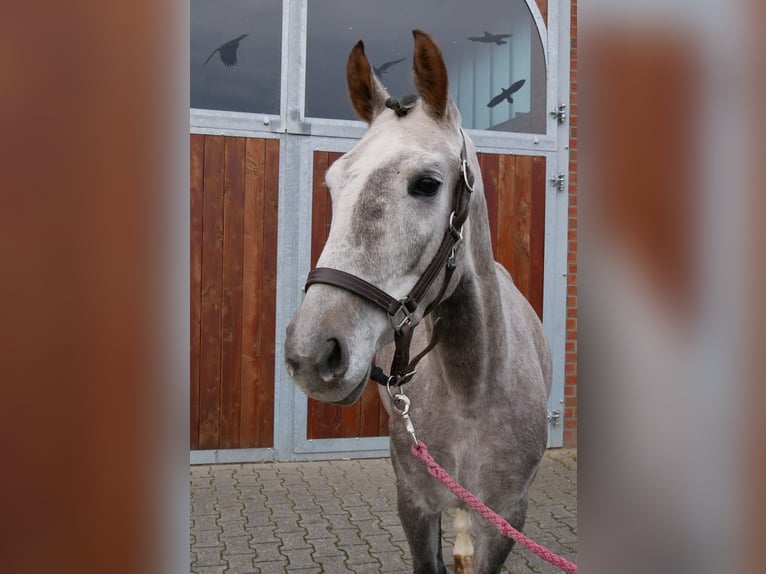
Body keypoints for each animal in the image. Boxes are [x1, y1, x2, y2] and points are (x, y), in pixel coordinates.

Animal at [284, 30, 552, 574]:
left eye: (426, 184)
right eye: (333, 184)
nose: (312, 353)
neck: (472, 391)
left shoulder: (507, 517)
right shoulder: (414, 503)